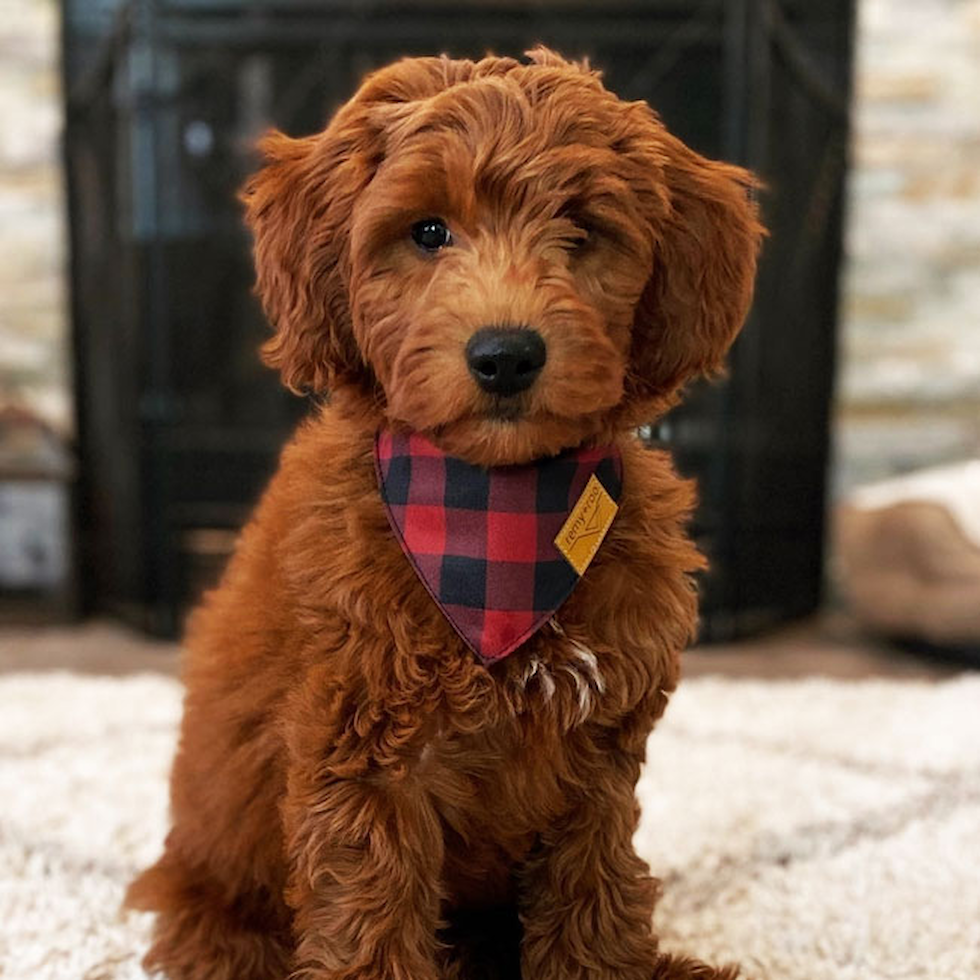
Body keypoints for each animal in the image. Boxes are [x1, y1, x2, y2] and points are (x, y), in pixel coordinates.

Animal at [124, 47, 764, 980]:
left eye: (581, 231)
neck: (496, 517)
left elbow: (595, 894)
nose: (506, 355)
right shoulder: (365, 753)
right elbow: (373, 918)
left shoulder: (598, 755)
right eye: (428, 232)